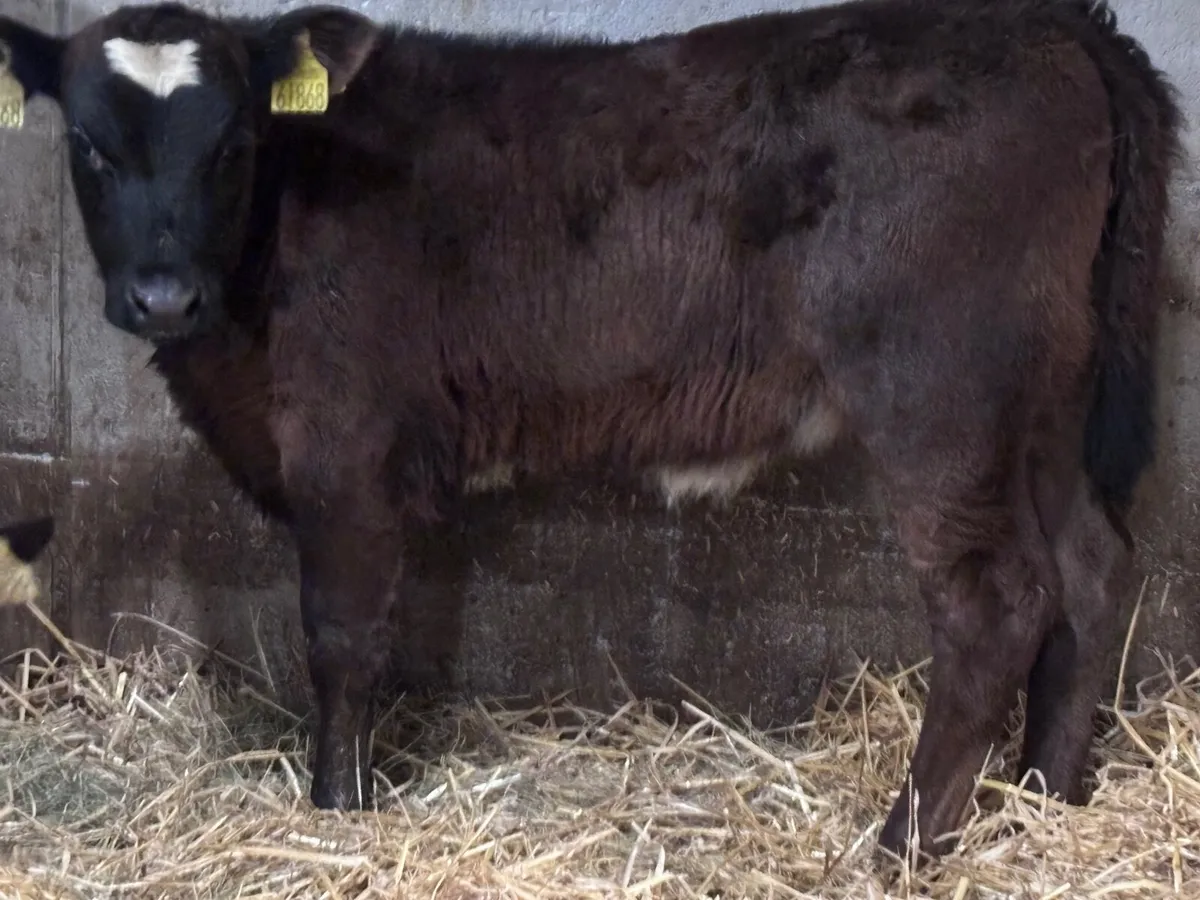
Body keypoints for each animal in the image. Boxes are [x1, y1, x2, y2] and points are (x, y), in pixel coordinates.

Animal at [0, 0, 1181, 859]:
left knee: (995, 601)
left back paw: (905, 844)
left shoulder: (344, 446)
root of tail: (1059, 25)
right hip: (1043, 400)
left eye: (234, 142)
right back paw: (1046, 797)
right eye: (90, 147)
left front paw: (336, 810)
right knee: (1088, 565)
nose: (162, 295)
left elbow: (340, 638)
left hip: (940, 394)